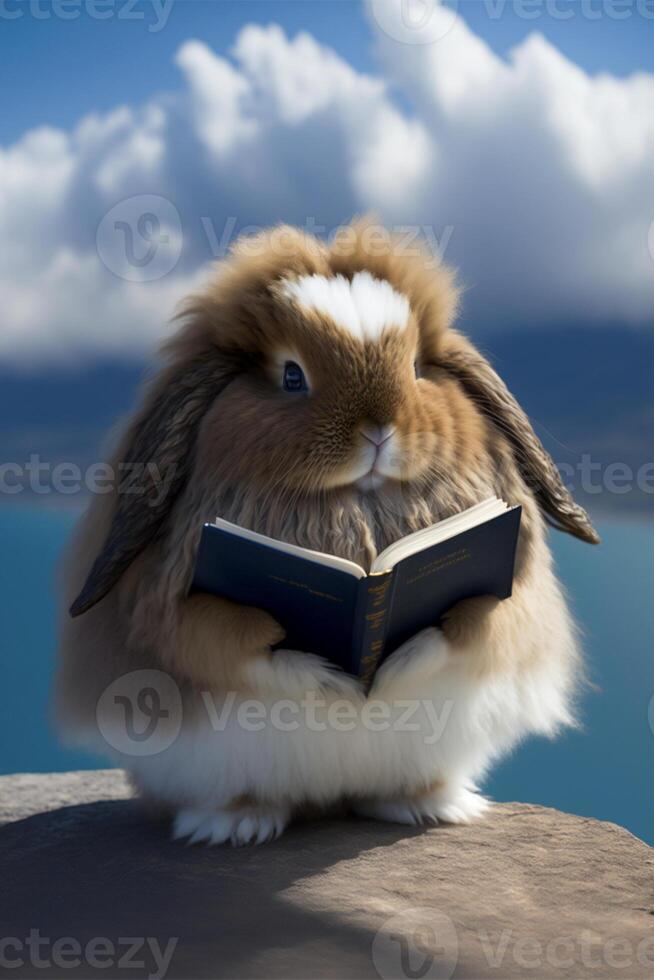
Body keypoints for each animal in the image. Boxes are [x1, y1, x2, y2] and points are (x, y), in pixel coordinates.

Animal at [55, 220, 600, 844]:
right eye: (292, 375)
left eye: (418, 368)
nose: (379, 428)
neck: (358, 505)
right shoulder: (172, 609)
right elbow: (232, 638)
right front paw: (327, 682)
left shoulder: (511, 594)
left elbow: (473, 622)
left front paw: (403, 662)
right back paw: (237, 824)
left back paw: (428, 805)